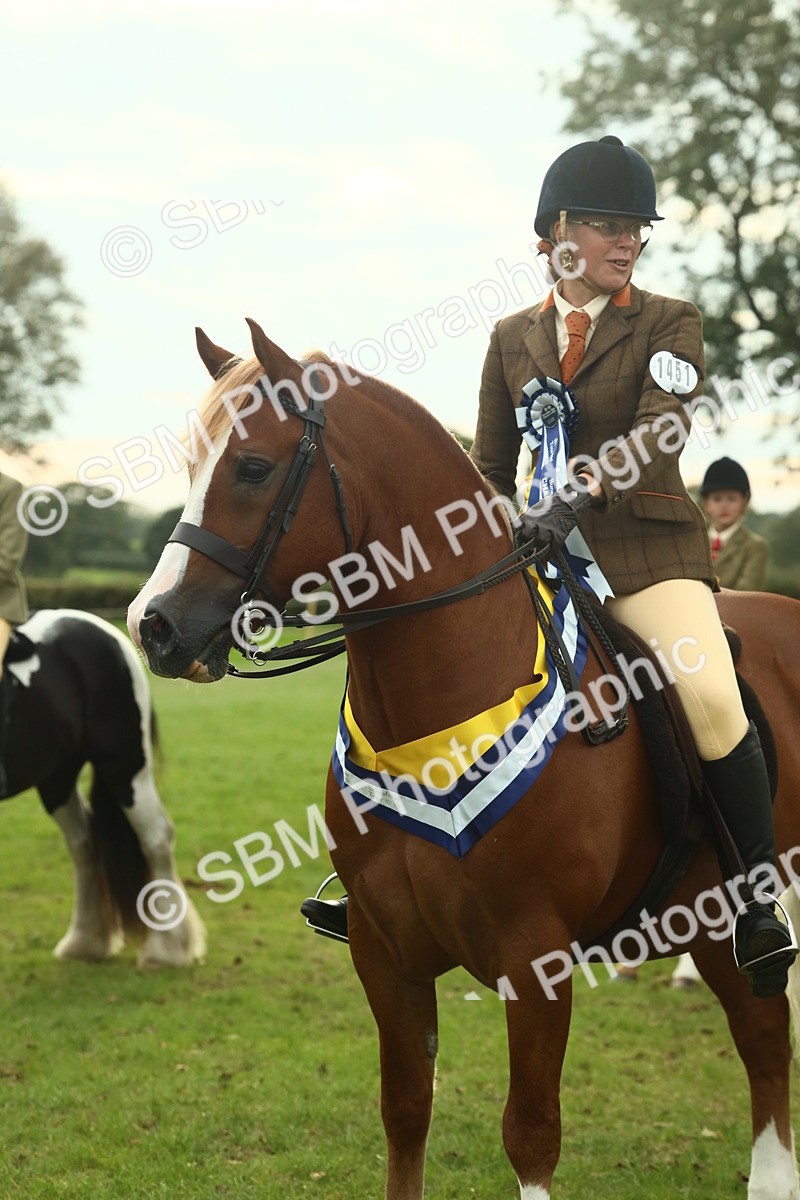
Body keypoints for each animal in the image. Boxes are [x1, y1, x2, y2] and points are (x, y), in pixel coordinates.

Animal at [4, 608, 205, 967]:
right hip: (56, 777)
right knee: (83, 843)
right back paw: (84, 941)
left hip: (125, 767)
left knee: (156, 837)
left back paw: (166, 949)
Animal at [127, 319, 800, 1199]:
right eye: (190, 463)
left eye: (251, 467)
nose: (153, 625)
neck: (439, 703)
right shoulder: (385, 955)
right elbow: (406, 1110)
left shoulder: (535, 960)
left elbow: (531, 1133)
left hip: (729, 908)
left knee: (765, 1031)